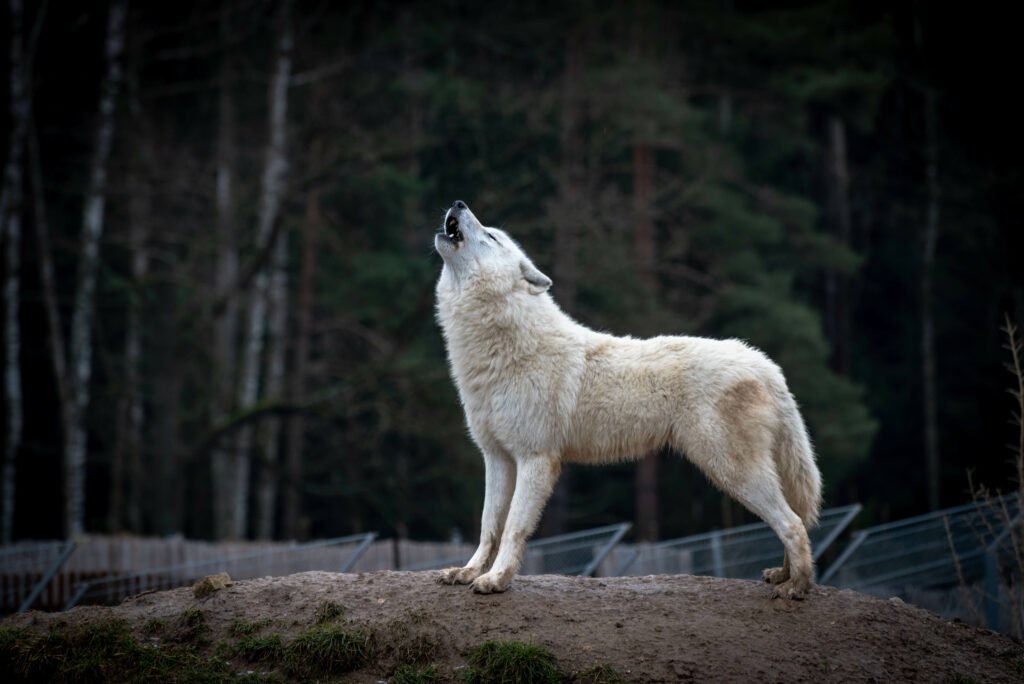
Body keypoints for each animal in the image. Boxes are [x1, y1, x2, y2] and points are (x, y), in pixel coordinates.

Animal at [434, 200, 822, 599]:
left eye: (491, 236)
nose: (458, 203)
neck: (504, 347)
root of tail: (765, 364)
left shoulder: (535, 459)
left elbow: (512, 528)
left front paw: (496, 580)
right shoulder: (496, 458)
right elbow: (488, 526)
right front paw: (467, 572)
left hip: (731, 470)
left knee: (793, 523)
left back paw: (797, 587)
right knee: (793, 518)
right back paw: (784, 575)